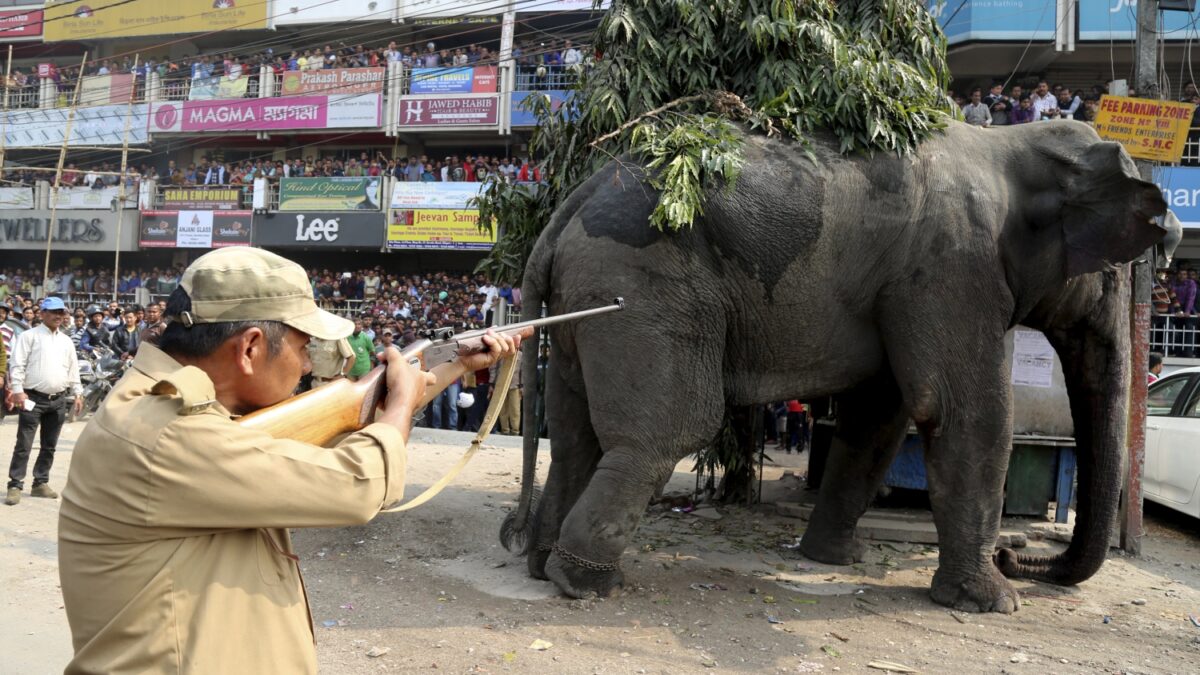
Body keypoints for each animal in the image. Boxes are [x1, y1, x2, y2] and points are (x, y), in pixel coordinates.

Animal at [499, 118, 1180, 612]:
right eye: (1117, 271)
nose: (1018, 557)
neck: (1008, 144)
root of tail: (567, 206)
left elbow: (882, 415)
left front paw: (835, 561)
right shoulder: (954, 265)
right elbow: (962, 411)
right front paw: (994, 603)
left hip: (585, 304)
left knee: (576, 430)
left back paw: (539, 565)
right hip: (640, 287)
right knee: (669, 430)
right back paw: (586, 584)